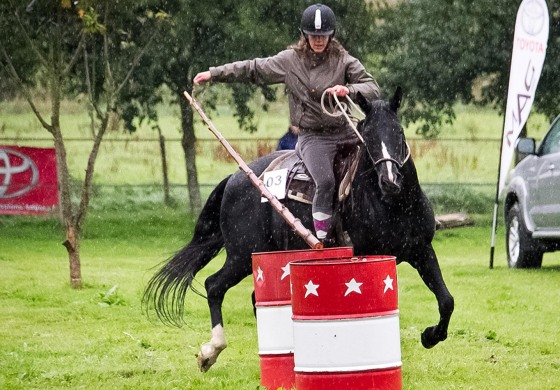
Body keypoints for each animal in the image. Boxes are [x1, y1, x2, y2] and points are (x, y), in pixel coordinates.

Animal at [143, 87, 456, 372]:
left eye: (399, 133)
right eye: (367, 137)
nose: (390, 181)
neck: (393, 205)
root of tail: (234, 178)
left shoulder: (422, 251)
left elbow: (446, 300)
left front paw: (430, 336)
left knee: (255, 298)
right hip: (242, 255)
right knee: (214, 285)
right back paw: (211, 352)